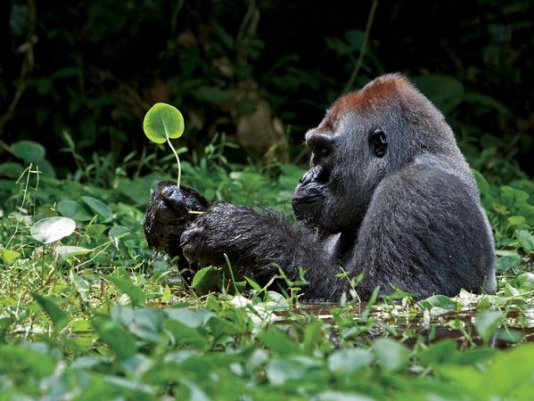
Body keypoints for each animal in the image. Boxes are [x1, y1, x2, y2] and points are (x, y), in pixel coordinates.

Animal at [143, 74, 498, 300]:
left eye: (324, 152)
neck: (407, 158)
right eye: (314, 150)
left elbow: (375, 294)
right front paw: (172, 215)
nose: (304, 178)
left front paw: (239, 231)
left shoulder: (417, 191)